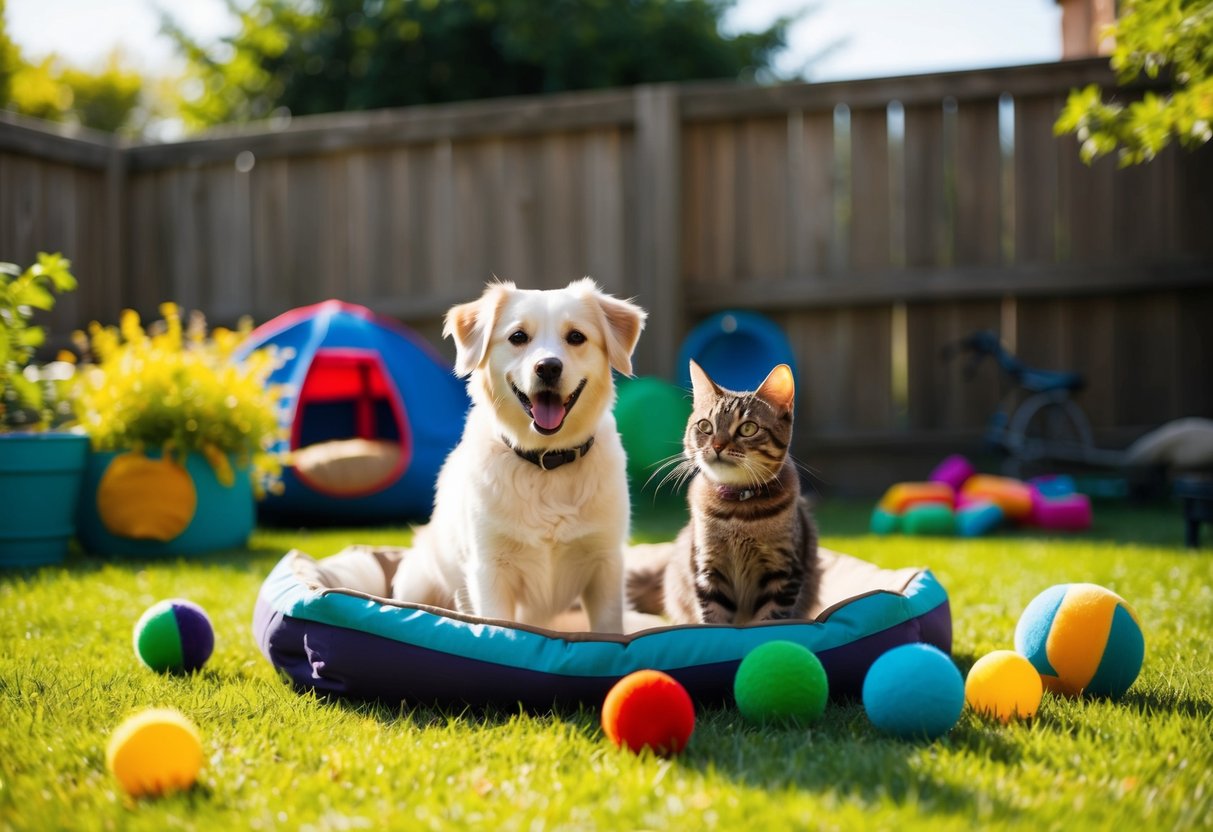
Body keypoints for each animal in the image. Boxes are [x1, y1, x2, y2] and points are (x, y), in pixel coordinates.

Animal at [395, 276, 645, 635]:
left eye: (576, 337)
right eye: (518, 337)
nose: (548, 367)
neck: (546, 462)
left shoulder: (606, 564)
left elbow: (609, 630)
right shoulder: (489, 568)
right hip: (415, 578)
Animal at [630, 358, 819, 625]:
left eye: (748, 428)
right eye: (705, 426)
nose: (717, 445)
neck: (736, 510)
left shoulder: (783, 574)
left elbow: (769, 621)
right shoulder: (708, 571)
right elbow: (714, 622)